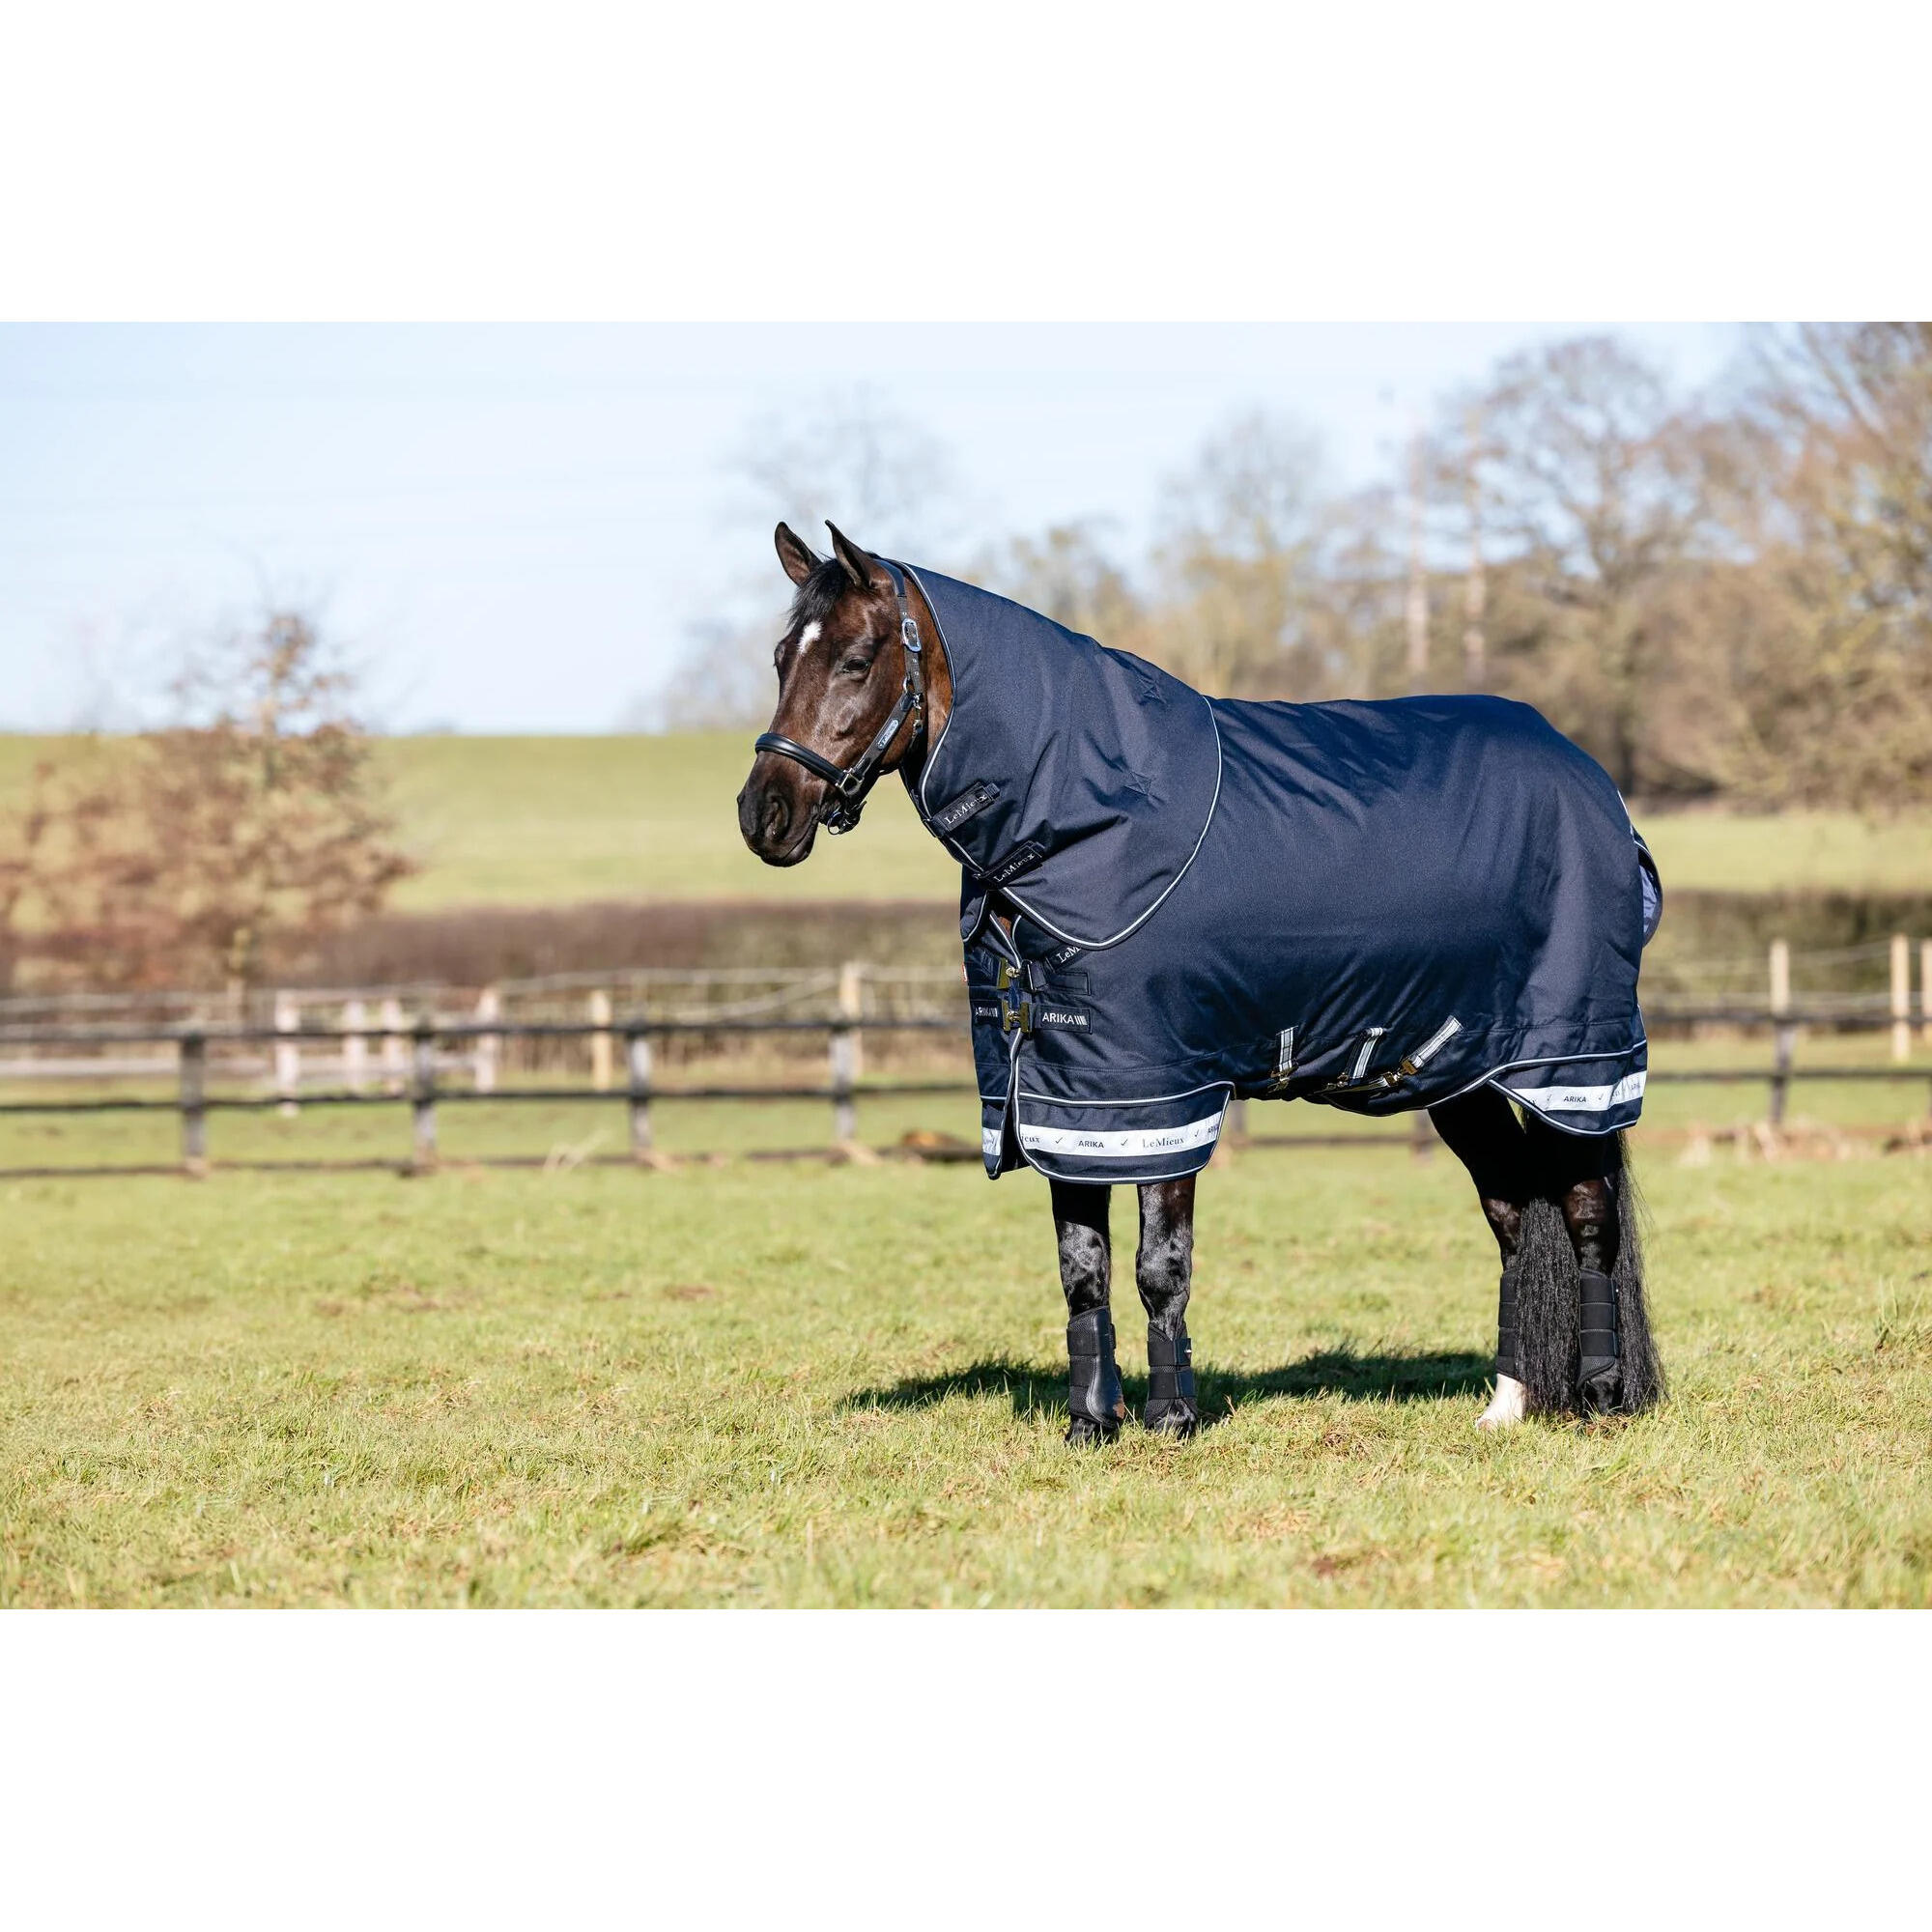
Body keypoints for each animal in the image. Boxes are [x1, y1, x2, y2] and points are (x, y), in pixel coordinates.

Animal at [739, 520, 1664, 1442]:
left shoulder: (1162, 1093)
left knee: (1586, 1213)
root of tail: (1592, 780)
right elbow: (1082, 1266)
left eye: (857, 659)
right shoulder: (1066, 1098)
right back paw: (1506, 1404)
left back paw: (1601, 1395)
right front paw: (1089, 1424)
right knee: (1513, 1214)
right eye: (782, 657)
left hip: (1574, 1066)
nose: (763, 816)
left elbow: (1160, 1264)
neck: (1090, 817)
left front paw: (1172, 1418)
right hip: (1460, 1075)